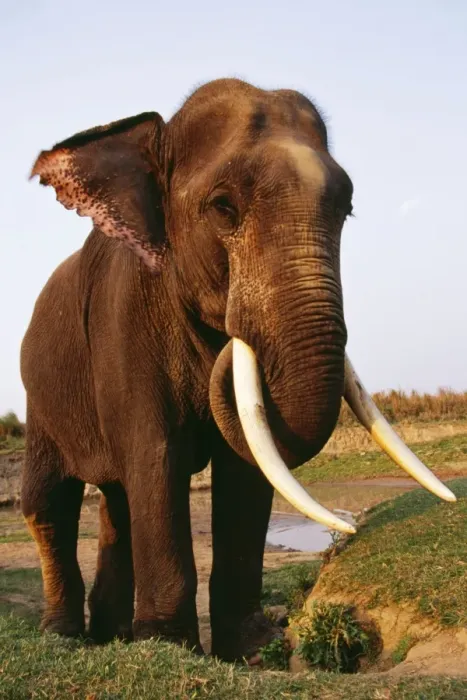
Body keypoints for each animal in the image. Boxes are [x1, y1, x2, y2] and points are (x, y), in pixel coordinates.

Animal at [21, 77, 455, 662]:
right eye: (223, 207)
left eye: (347, 209)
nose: (233, 331)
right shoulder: (123, 320)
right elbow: (156, 456)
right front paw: (169, 647)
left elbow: (245, 465)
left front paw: (254, 647)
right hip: (39, 397)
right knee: (50, 502)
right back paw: (65, 637)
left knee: (115, 501)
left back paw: (110, 634)